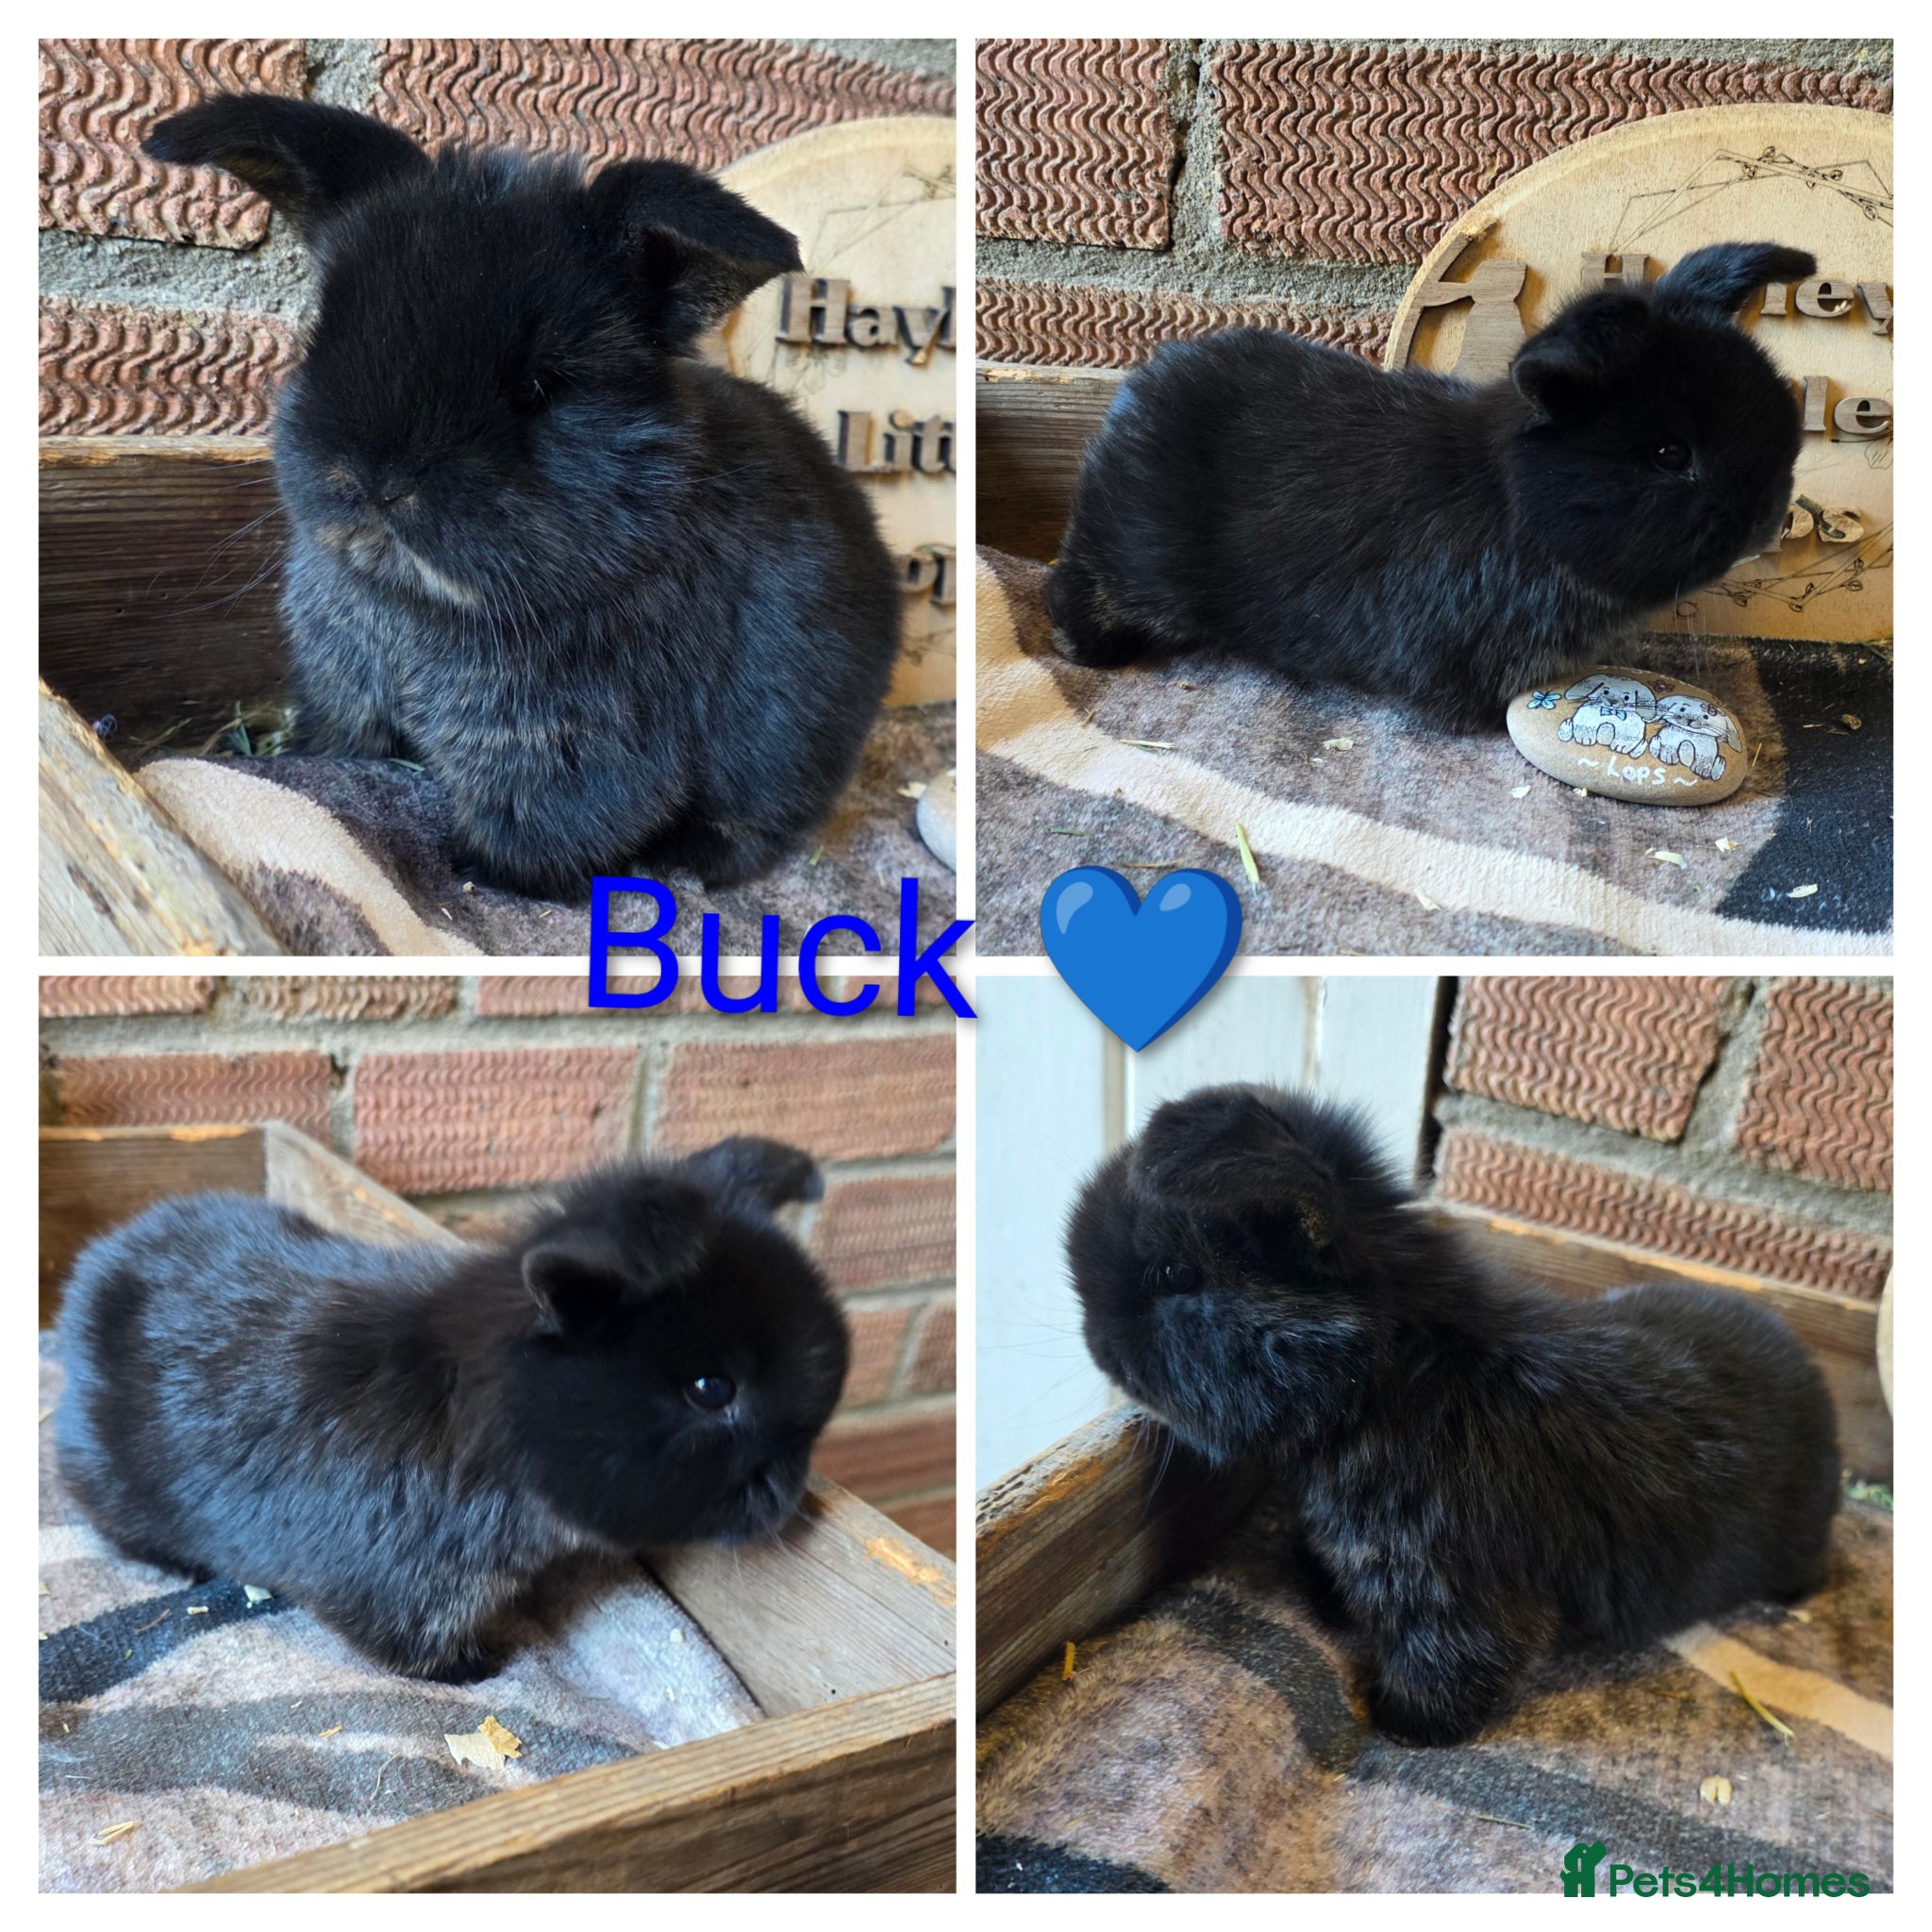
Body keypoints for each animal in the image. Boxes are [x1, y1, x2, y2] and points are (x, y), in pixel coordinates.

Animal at [52, 1136, 848, 1682]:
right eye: (712, 1390)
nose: (793, 1498)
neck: (490, 1410)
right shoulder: (408, 1591)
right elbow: (414, 1647)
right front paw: (483, 1667)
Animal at [143, 96, 902, 897]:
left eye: (540, 386)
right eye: (324, 334)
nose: (375, 481)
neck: (416, 602)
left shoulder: (568, 744)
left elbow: (551, 827)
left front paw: (475, 873)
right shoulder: (345, 686)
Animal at [1046, 243, 1814, 731]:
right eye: (1668, 453)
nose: (1769, 519)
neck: (1517, 506)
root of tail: (1131, 400)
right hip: (1131, 564)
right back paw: (1086, 646)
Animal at [1066, 1085, 1840, 1746]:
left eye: (1176, 1274)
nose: (1096, 1347)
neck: (1399, 1373)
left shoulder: (1453, 1590)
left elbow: (1455, 1662)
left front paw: (1400, 1724)